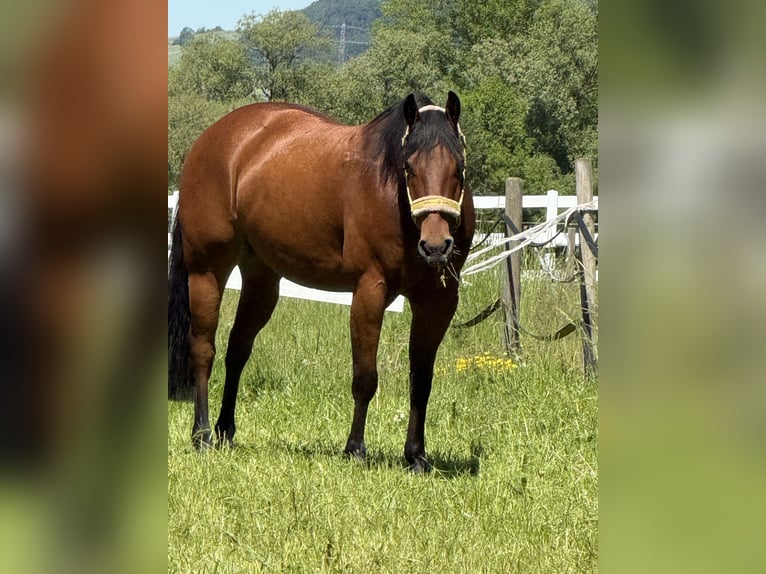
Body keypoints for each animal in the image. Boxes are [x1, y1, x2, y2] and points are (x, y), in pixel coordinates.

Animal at [168, 92, 475, 472]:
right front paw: (355, 449)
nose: (435, 246)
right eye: (408, 167)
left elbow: (421, 379)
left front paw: (416, 456)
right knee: (203, 350)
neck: (393, 199)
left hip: (261, 278)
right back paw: (202, 435)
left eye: (459, 167)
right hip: (207, 271)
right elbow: (365, 377)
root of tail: (212, 139)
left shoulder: (437, 302)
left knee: (237, 350)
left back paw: (226, 430)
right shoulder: (369, 292)